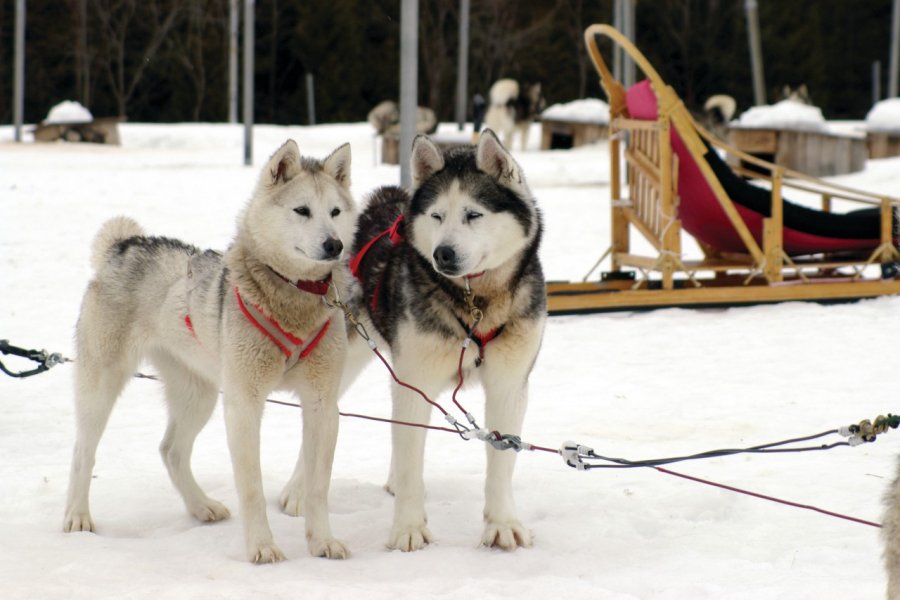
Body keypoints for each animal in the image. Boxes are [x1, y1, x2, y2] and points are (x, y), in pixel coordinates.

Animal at [63, 139, 356, 564]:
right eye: (302, 210)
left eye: (335, 211)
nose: (335, 244)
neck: (293, 298)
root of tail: (124, 246)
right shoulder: (244, 405)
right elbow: (251, 488)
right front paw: (262, 546)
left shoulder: (322, 404)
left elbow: (318, 487)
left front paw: (322, 541)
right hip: (102, 387)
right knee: (83, 451)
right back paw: (77, 516)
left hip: (198, 394)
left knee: (171, 450)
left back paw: (201, 506)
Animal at [284, 130, 544, 552]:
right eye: (437, 215)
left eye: (473, 214)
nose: (443, 254)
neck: (474, 303)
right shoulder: (415, 380)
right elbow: (410, 463)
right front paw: (408, 528)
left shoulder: (508, 385)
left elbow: (500, 460)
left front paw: (502, 523)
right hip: (344, 361)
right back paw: (296, 490)